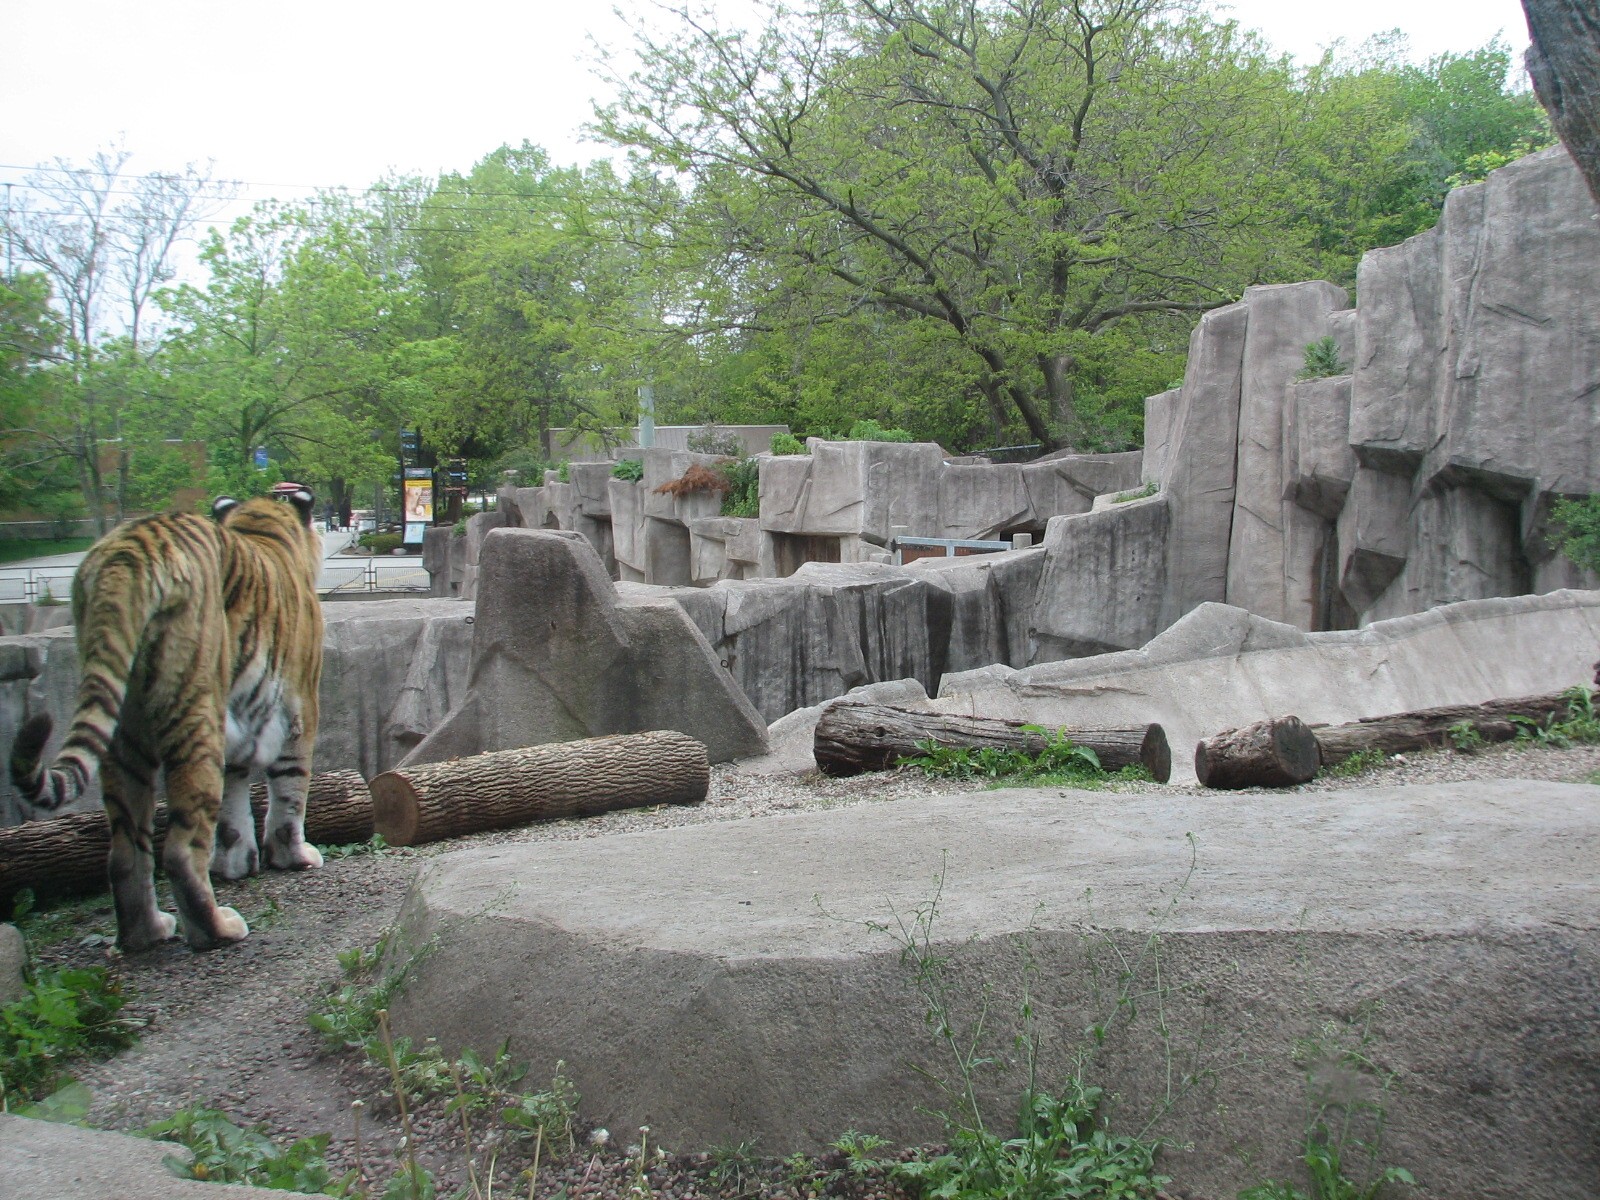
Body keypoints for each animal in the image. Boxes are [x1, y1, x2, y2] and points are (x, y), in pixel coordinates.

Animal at [8, 486, 326, 952]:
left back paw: (148, 931)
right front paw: (294, 857)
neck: (262, 526)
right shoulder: (301, 705)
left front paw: (235, 862)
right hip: (198, 711)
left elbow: (233, 807)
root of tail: (126, 553)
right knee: (179, 849)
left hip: (125, 729)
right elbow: (290, 790)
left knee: (126, 851)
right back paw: (218, 929)